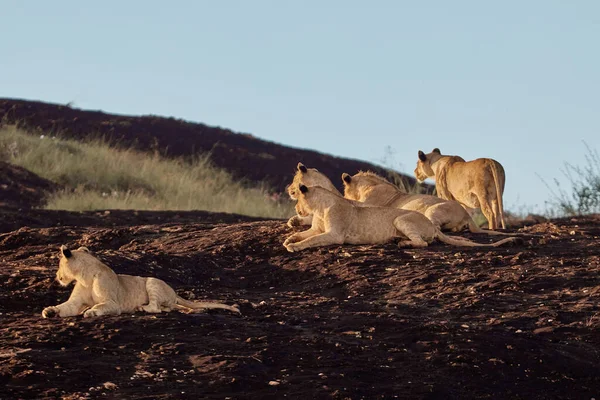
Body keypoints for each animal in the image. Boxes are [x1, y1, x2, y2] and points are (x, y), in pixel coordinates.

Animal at [41, 244, 241, 318]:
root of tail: (174, 293)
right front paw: (49, 310)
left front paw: (91, 311)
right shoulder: (75, 302)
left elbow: (101, 306)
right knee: (167, 308)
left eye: (59, 264)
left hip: (152, 281)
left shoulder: (114, 304)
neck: (84, 277)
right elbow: (64, 307)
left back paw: (141, 308)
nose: (56, 276)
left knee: (156, 307)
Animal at [284, 183, 516, 252]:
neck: (319, 207)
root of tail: (432, 226)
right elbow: (306, 235)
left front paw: (293, 246)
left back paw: (403, 243)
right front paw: (289, 239)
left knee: (423, 243)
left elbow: (312, 240)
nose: (296, 209)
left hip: (401, 219)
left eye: (296, 196)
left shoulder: (334, 234)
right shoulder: (317, 228)